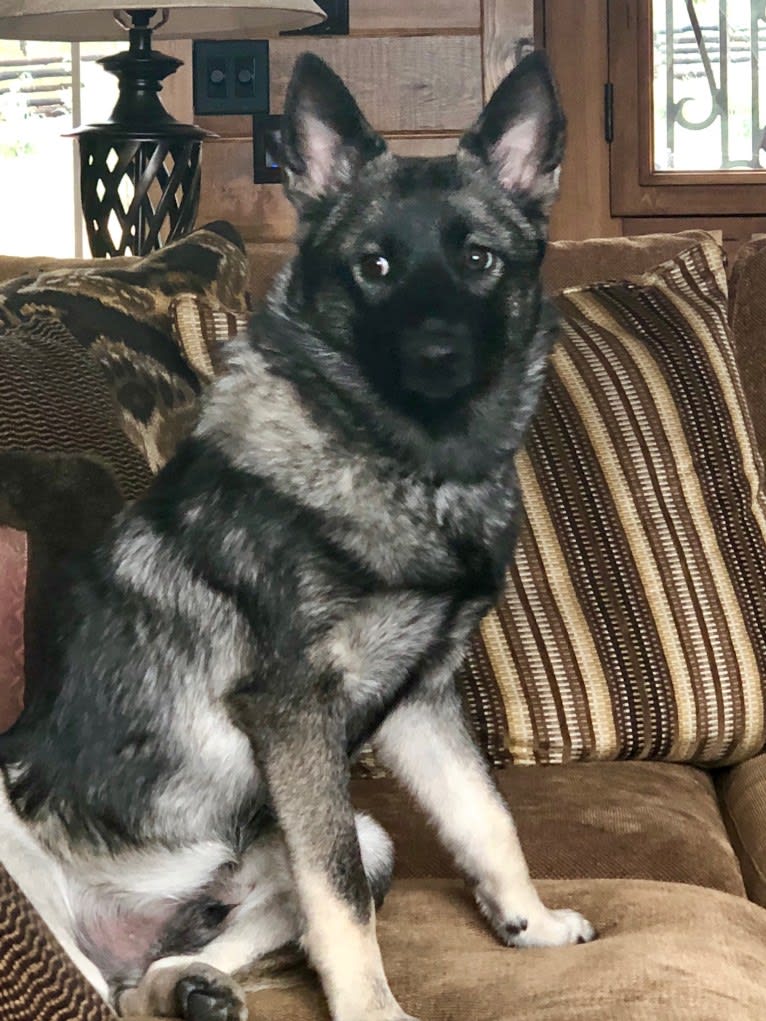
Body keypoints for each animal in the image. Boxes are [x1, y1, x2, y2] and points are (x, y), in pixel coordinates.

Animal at [0, 51, 592, 1021]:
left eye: (478, 259)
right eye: (374, 267)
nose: (437, 356)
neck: (407, 465)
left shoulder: (422, 701)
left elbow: (484, 817)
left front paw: (528, 922)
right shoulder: (297, 713)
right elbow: (338, 893)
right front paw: (374, 1010)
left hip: (366, 832)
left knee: (144, 981)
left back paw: (188, 986)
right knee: (88, 984)